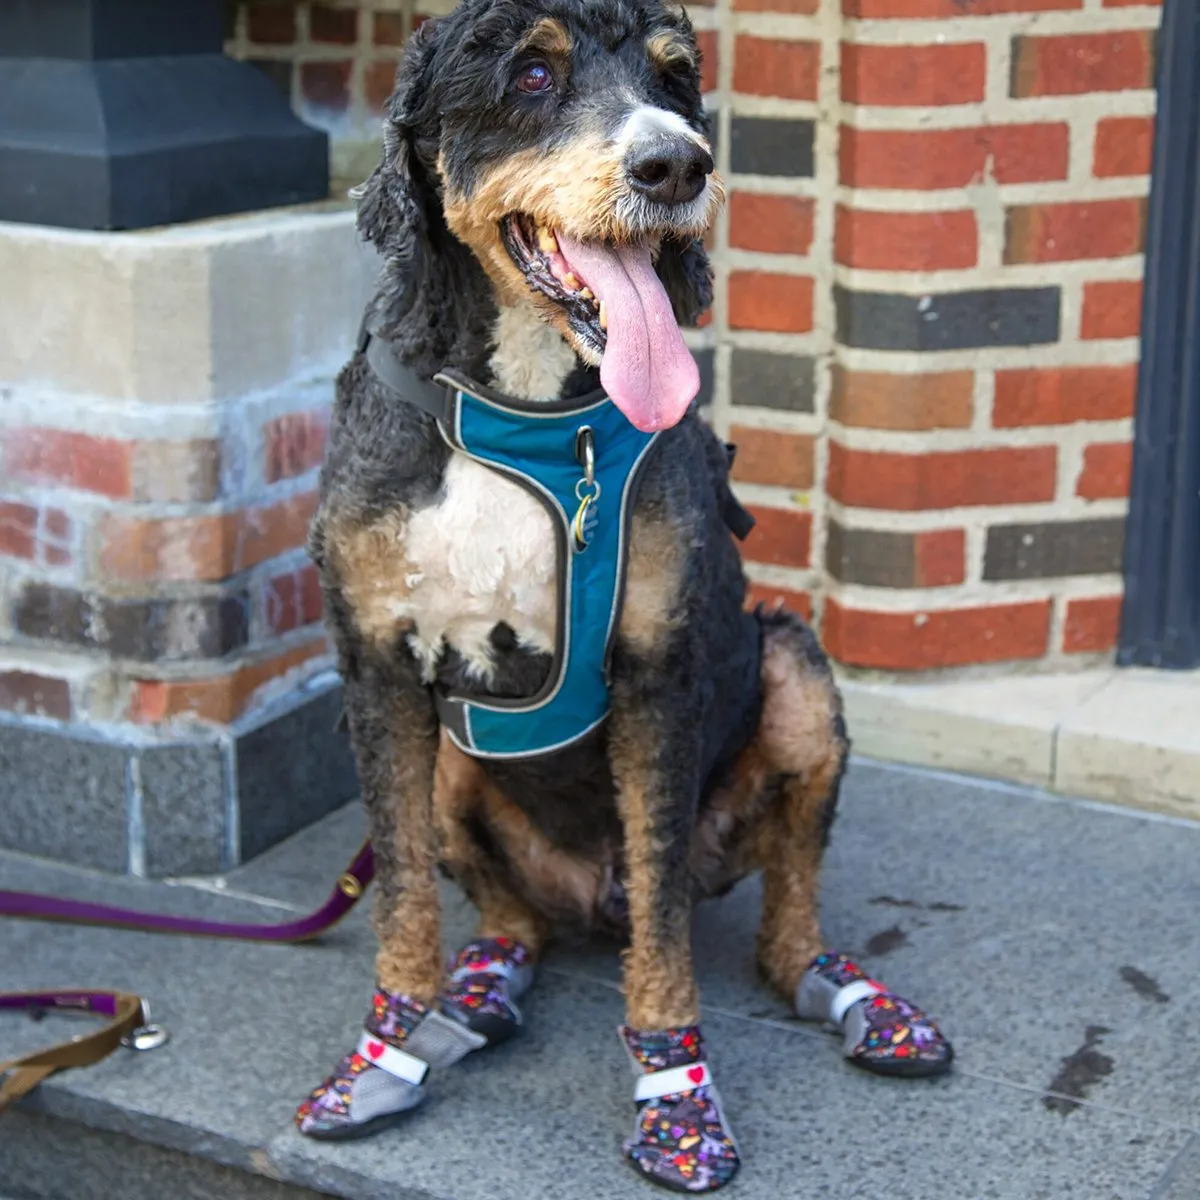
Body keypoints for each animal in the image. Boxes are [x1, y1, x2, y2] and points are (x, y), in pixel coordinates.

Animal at [295, 0, 950, 1190]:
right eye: (532, 73)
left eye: (675, 79)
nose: (677, 164)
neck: (522, 408)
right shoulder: (375, 672)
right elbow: (402, 891)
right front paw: (381, 1056)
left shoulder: (661, 673)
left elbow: (661, 912)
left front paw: (674, 1092)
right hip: (457, 763)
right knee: (512, 916)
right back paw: (478, 991)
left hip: (793, 673)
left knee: (778, 914)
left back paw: (854, 999)